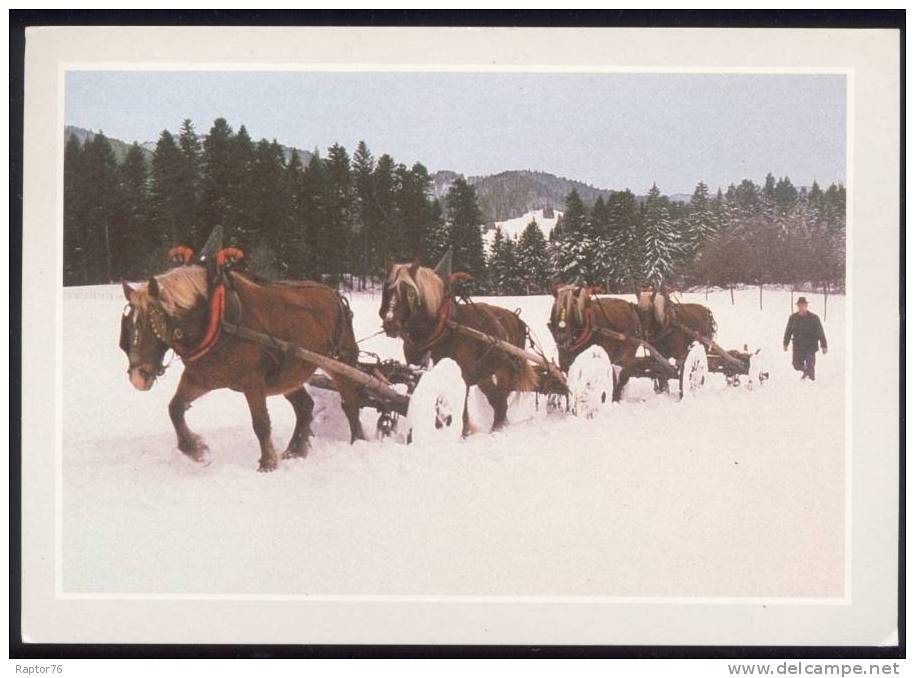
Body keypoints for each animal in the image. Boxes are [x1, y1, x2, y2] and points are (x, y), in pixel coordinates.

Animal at [118, 266, 364, 472]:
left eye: (152, 324)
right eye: (128, 325)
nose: (138, 377)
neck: (216, 321)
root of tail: (335, 295)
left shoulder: (252, 382)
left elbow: (261, 423)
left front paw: (267, 464)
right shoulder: (199, 378)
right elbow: (175, 409)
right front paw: (195, 449)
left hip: (339, 362)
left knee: (350, 403)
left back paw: (358, 441)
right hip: (289, 375)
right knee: (305, 406)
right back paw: (294, 450)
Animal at [378, 260, 540, 436]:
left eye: (411, 293)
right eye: (387, 290)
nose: (390, 323)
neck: (443, 329)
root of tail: (516, 318)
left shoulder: (463, 375)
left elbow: (462, 411)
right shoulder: (415, 372)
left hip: (504, 370)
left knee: (501, 401)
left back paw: (498, 428)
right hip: (484, 375)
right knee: (497, 401)